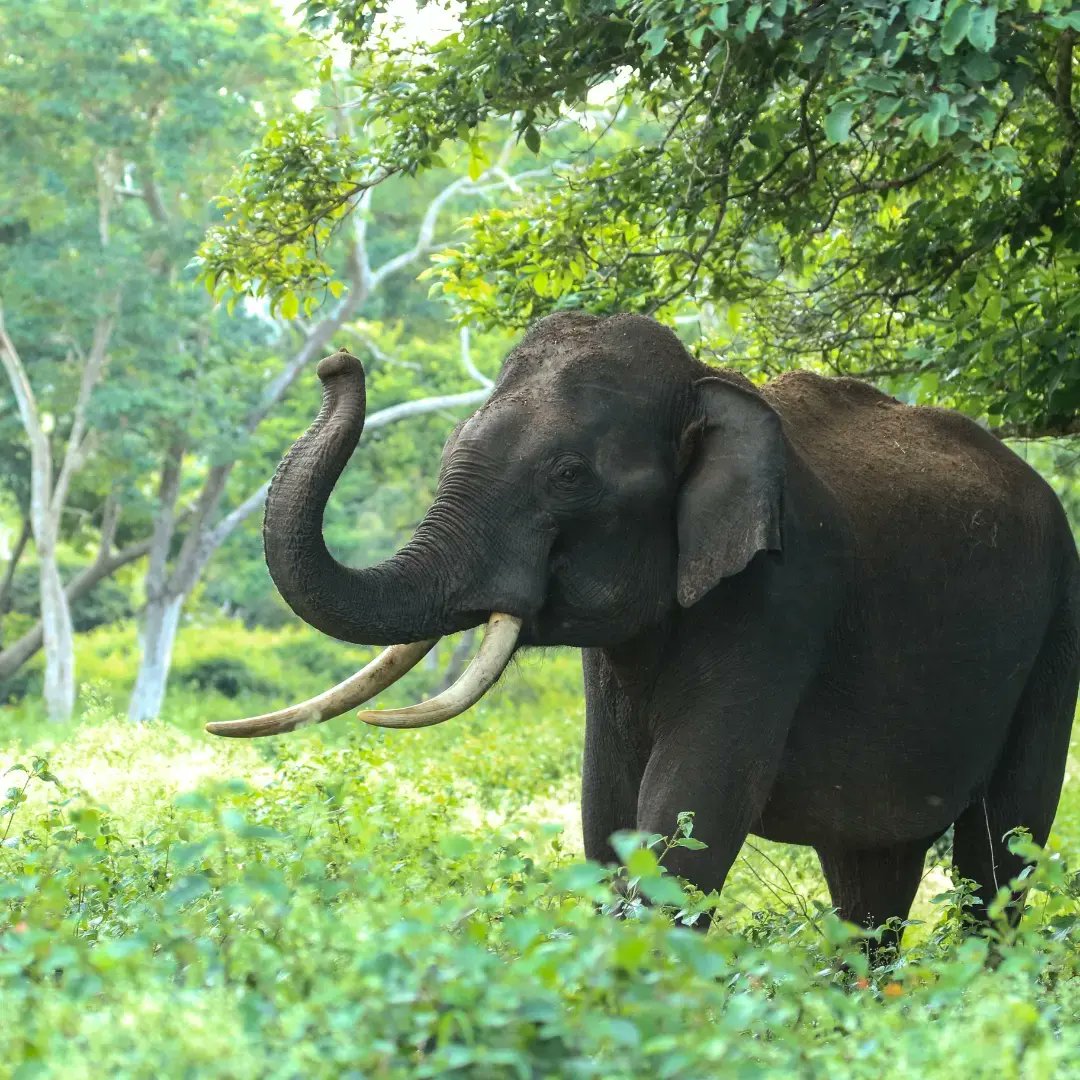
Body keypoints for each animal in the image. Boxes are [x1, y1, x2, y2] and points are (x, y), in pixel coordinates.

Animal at [209, 311, 1080, 943]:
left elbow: (690, 809)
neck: (705, 384)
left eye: (568, 475)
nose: (337, 364)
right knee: (870, 876)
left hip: (1055, 629)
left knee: (1002, 850)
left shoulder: (782, 599)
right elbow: (609, 809)